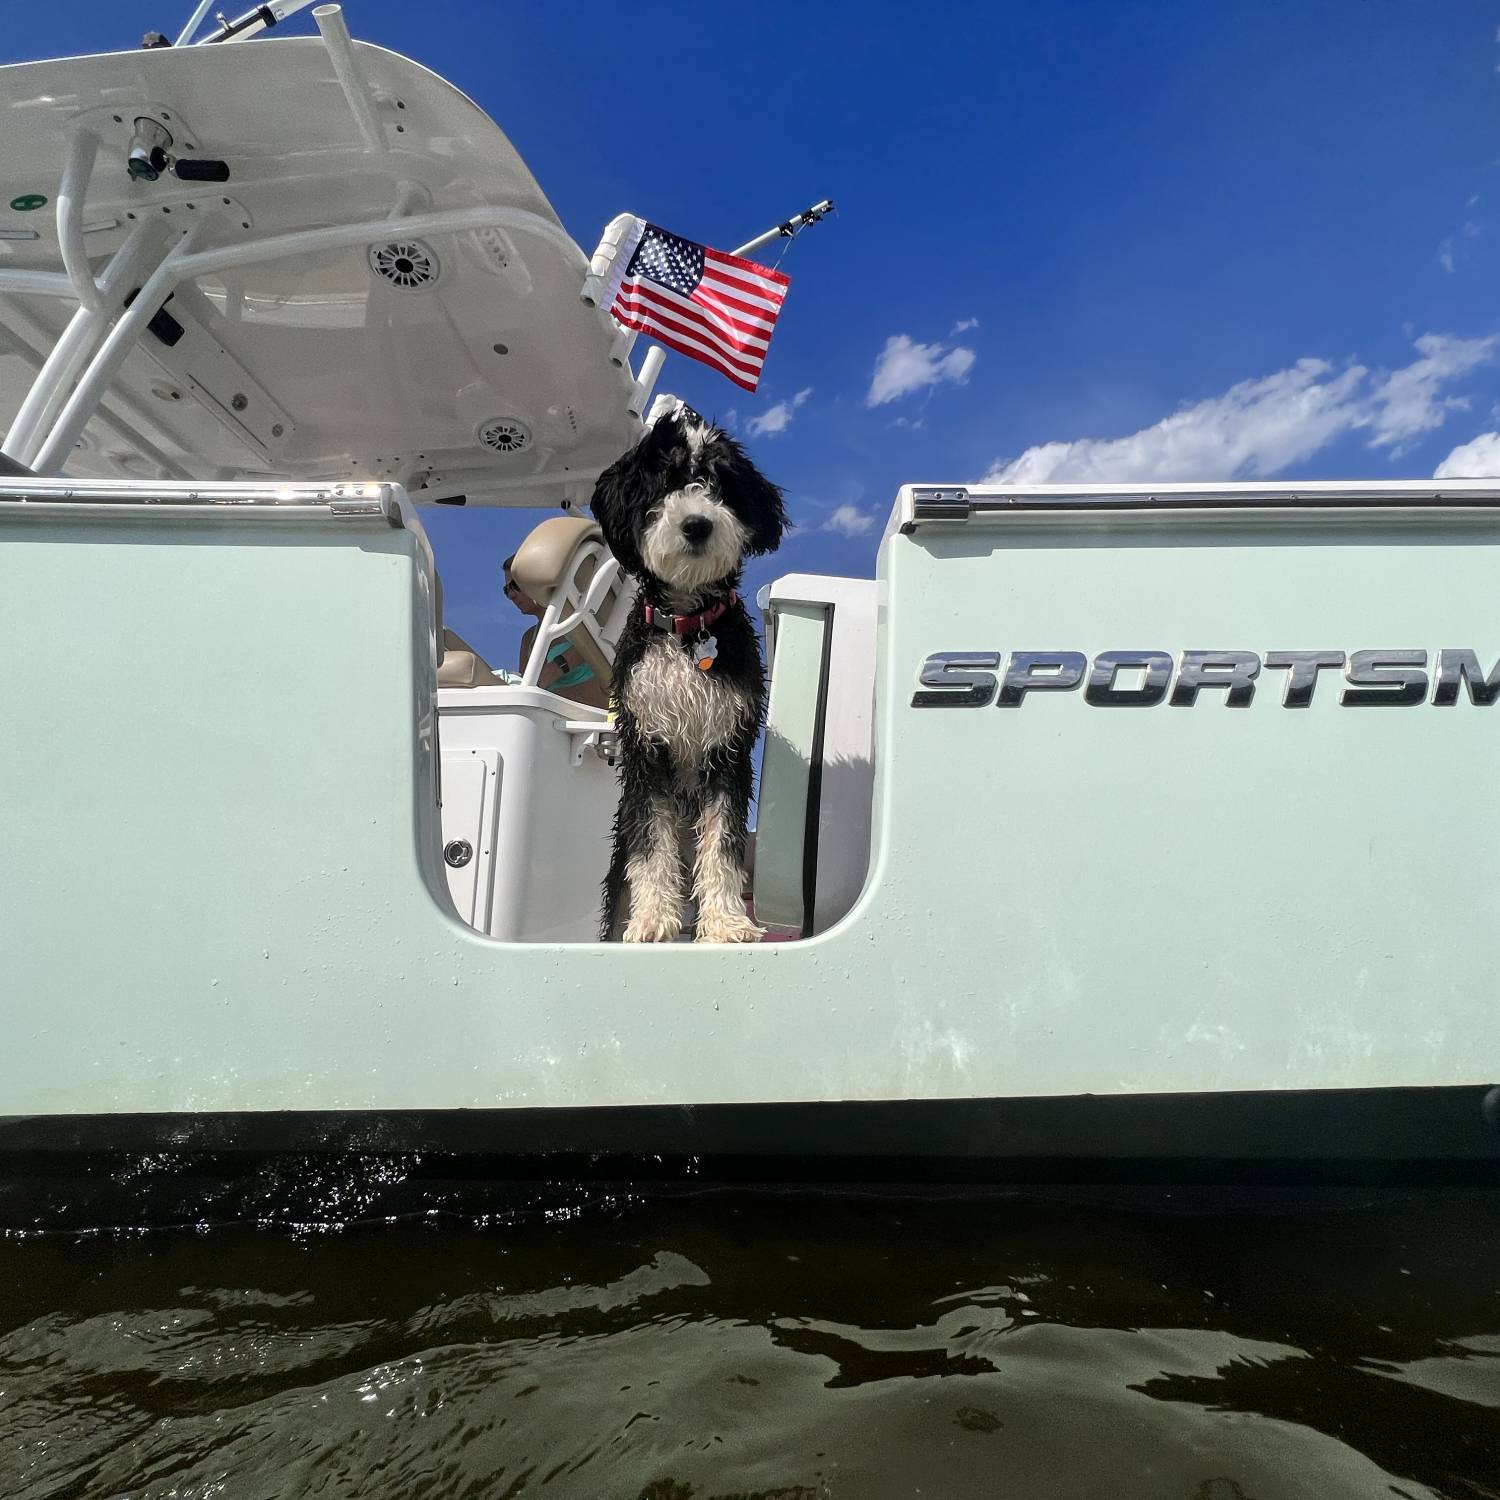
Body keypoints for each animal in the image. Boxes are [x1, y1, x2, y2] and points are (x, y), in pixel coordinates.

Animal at [591, 399, 792, 936]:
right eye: (662, 484)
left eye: (719, 482)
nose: (697, 524)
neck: (686, 626)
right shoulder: (646, 748)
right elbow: (652, 845)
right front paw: (650, 920)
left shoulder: (729, 748)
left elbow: (722, 842)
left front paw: (726, 923)